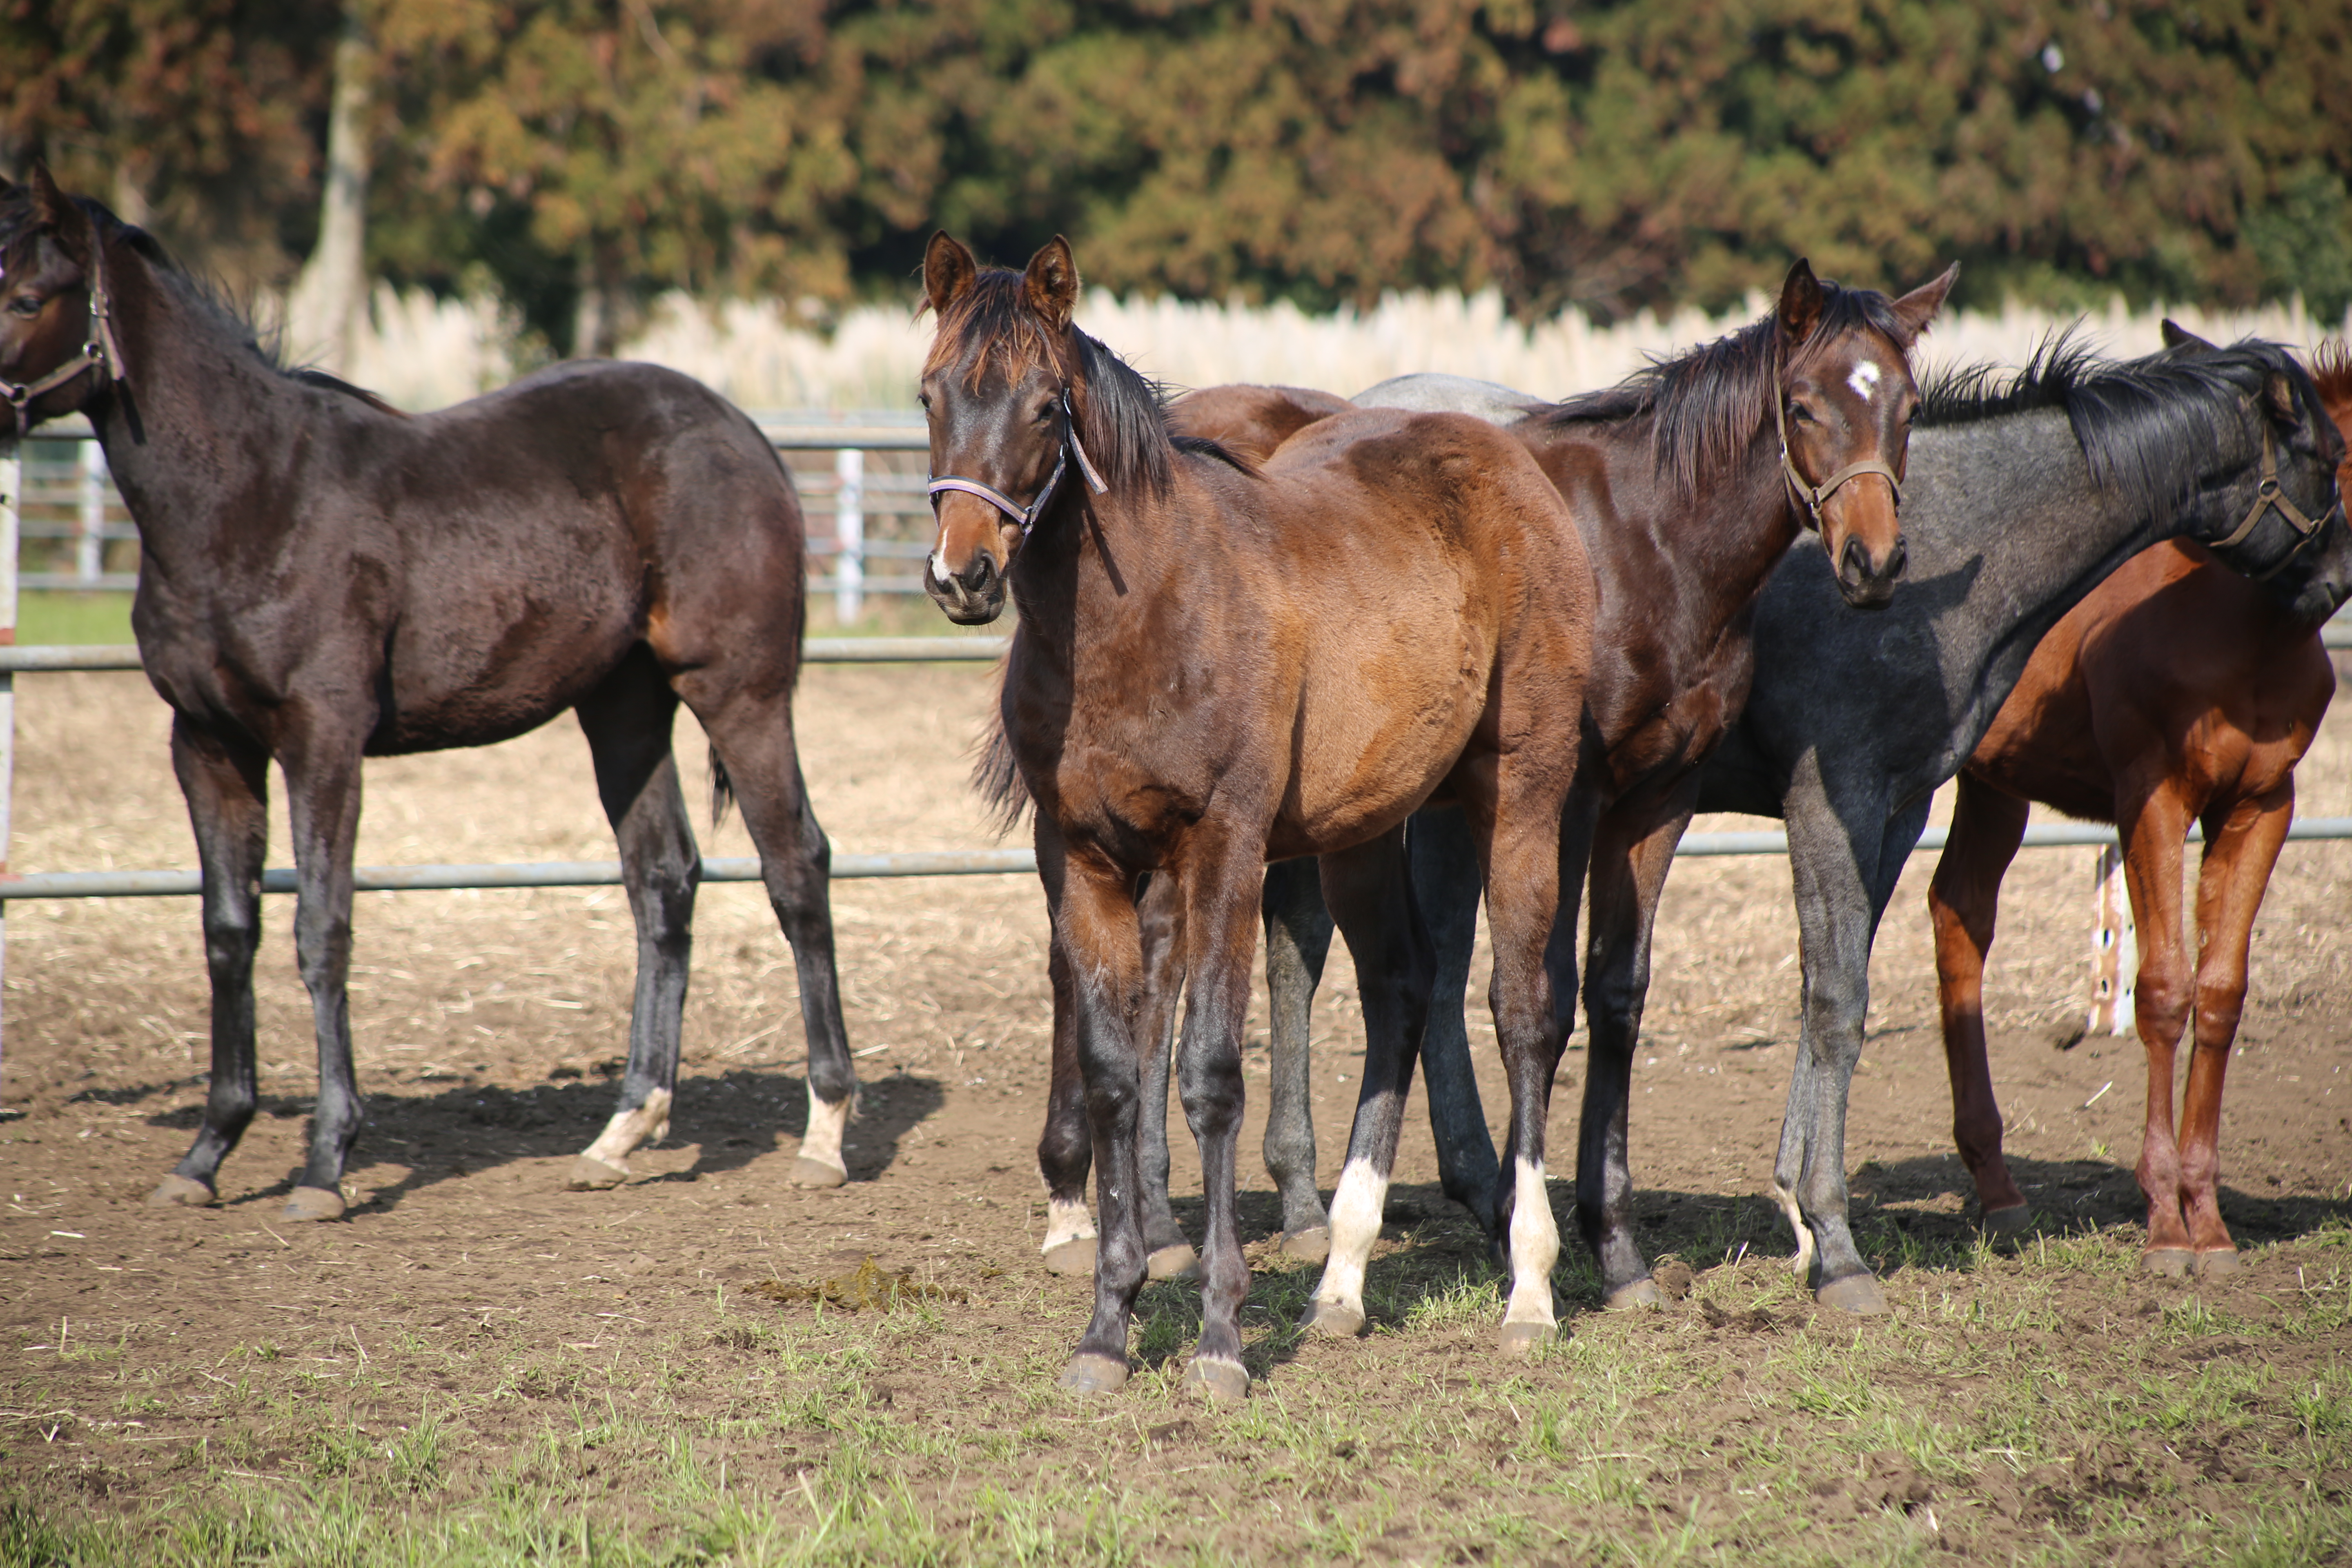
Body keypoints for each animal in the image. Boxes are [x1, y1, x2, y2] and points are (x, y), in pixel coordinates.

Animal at [0, 165, 865, 1222]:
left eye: (27, 298)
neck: (251, 497)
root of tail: (746, 434)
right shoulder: (206, 744)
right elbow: (228, 933)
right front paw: (206, 1154)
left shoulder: (323, 740)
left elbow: (321, 929)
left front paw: (326, 1165)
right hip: (622, 709)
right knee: (663, 879)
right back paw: (624, 1128)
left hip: (739, 692)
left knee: (797, 865)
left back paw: (825, 1132)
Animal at [917, 232, 1599, 1401]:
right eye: (929, 394)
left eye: (1047, 407)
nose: (963, 576)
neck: (1144, 616)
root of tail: (1512, 463)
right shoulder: (1082, 861)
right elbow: (1115, 1075)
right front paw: (1107, 1327)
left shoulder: (1224, 851)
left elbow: (1207, 1076)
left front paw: (1219, 1338)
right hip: (1364, 834)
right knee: (1399, 991)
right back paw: (1343, 1283)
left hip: (1519, 800)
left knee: (1521, 1013)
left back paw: (1530, 1289)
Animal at [1025, 261, 1947, 1326]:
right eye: (1802, 405)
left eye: (1908, 407)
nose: (1873, 562)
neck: (1645, 541)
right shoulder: (1565, 795)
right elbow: (1540, 993)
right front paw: (1538, 1230)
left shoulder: (1660, 798)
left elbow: (1615, 996)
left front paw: (1616, 1251)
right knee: (1140, 968)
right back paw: (1128, 1218)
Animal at [1929, 331, 2352, 1278]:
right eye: (2329, 455)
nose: (2336, 581)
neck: (2245, 625)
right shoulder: (2152, 795)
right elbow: (2161, 988)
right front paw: (2164, 1224)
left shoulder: (2263, 804)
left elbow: (2221, 991)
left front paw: (2210, 1221)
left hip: (1994, 785)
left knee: (1959, 916)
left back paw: (1997, 1185)